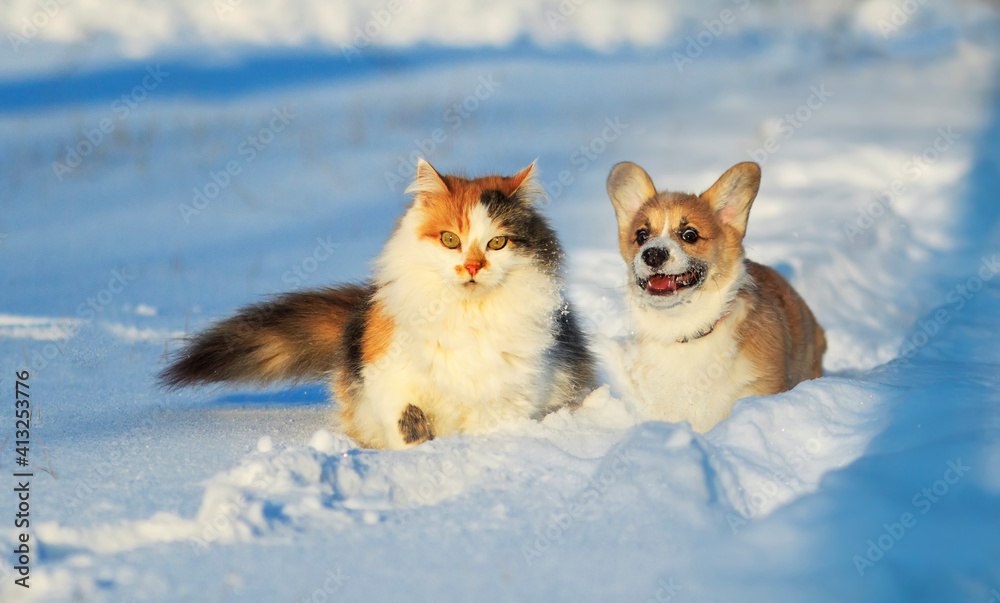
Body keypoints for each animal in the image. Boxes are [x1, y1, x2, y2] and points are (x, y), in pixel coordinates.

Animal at [156, 159, 592, 448]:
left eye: (497, 243)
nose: (471, 266)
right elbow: (407, 421)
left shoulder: (509, 397)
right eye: (450, 239)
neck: (466, 313)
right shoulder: (389, 376)